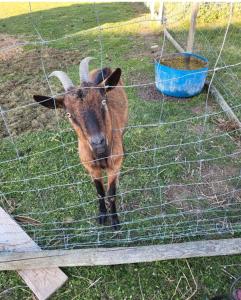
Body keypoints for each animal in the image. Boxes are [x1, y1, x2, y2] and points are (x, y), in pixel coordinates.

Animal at [33, 57, 130, 229]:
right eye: (68, 114)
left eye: (103, 102)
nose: (98, 142)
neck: (100, 156)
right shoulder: (91, 168)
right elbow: (100, 192)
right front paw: (102, 216)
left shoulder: (114, 166)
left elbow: (111, 194)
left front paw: (115, 221)